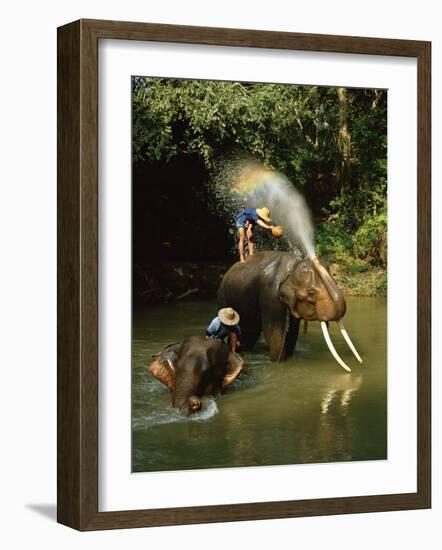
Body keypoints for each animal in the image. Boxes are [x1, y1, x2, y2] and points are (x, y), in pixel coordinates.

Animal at [216, 252, 360, 374]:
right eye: (311, 293)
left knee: (250, 335)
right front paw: (278, 363)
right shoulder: (270, 296)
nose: (315, 258)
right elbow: (274, 332)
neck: (291, 271)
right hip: (224, 299)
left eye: (335, 282)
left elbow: (292, 333)